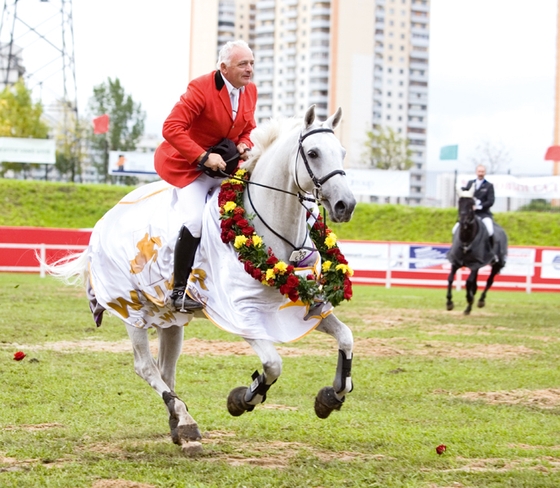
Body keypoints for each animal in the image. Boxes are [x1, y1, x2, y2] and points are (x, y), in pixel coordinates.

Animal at [46, 105, 356, 452]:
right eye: (313, 153)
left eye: (342, 152)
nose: (345, 205)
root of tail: (105, 220)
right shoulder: (242, 316)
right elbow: (273, 365)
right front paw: (242, 399)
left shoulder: (305, 303)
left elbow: (346, 338)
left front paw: (331, 396)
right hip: (132, 310)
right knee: (146, 367)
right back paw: (185, 421)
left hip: (169, 318)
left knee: (166, 370)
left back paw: (179, 424)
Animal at [446, 187, 508, 316]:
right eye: (459, 203)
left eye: (471, 204)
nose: (463, 222)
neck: (466, 240)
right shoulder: (455, 262)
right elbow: (450, 279)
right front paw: (449, 303)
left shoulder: (475, 264)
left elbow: (468, 282)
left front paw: (469, 300)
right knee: (475, 285)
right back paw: (470, 305)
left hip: (496, 264)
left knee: (489, 281)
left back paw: (480, 301)